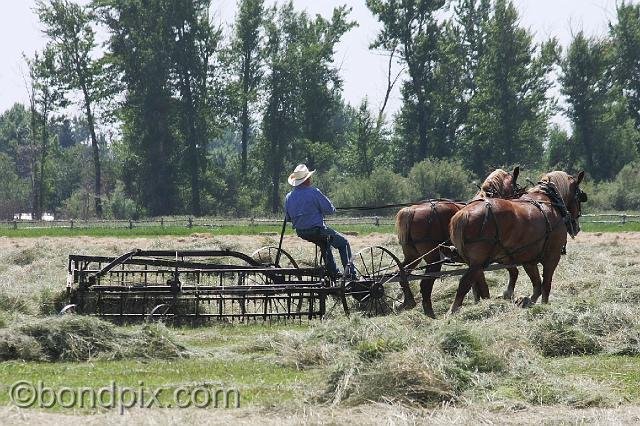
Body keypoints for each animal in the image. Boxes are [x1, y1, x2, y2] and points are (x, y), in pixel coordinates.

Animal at [395, 167, 522, 318]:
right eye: (516, 190)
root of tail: (411, 210)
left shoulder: (477, 260)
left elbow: (477, 283)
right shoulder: (487, 257)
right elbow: (504, 273)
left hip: (413, 256)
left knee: (402, 272)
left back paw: (407, 302)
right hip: (432, 259)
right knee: (425, 284)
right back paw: (429, 313)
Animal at [448, 170, 587, 314]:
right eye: (579, 197)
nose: (577, 227)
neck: (550, 202)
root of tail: (463, 214)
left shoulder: (528, 260)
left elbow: (537, 285)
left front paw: (526, 301)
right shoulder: (552, 257)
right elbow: (546, 285)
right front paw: (543, 306)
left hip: (475, 262)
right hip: (478, 262)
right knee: (465, 282)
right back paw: (453, 310)